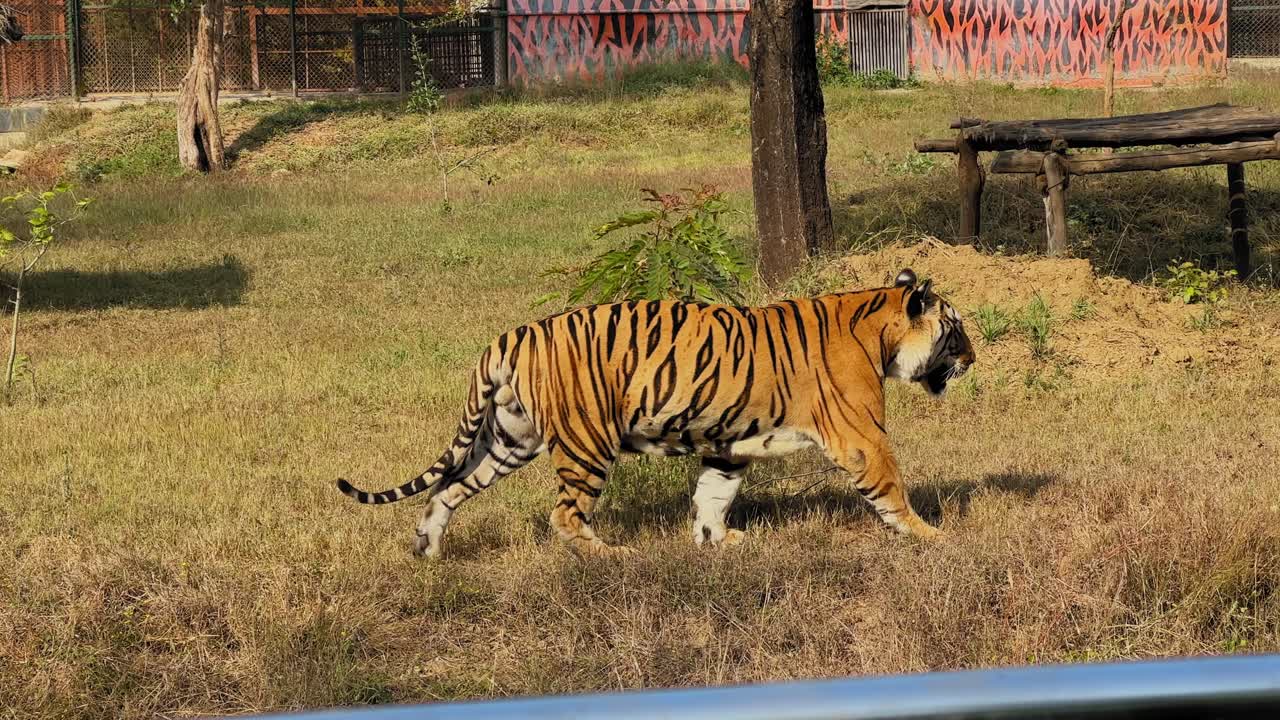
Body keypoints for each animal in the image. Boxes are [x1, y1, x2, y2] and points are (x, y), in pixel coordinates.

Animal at [337, 268, 975, 558]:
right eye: (956, 329)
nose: (972, 358)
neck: (879, 327)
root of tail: (510, 335)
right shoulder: (862, 436)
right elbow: (892, 489)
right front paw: (933, 536)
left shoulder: (729, 441)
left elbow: (713, 494)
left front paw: (718, 541)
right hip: (587, 442)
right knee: (563, 515)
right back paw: (609, 557)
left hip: (508, 440)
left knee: (444, 490)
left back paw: (427, 550)